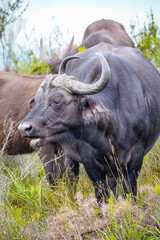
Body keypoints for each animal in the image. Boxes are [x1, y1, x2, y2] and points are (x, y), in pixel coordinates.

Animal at [17, 42, 160, 203]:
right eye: (37, 101)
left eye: (57, 101)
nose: (24, 128)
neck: (110, 131)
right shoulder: (89, 161)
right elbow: (101, 194)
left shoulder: (136, 157)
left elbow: (129, 191)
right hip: (69, 156)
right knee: (72, 179)